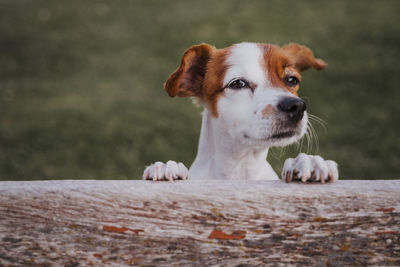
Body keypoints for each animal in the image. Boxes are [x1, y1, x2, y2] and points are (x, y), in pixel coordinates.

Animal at [143, 42, 338, 184]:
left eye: (292, 80)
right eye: (238, 83)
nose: (296, 106)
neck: (240, 166)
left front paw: (308, 162)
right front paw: (167, 167)